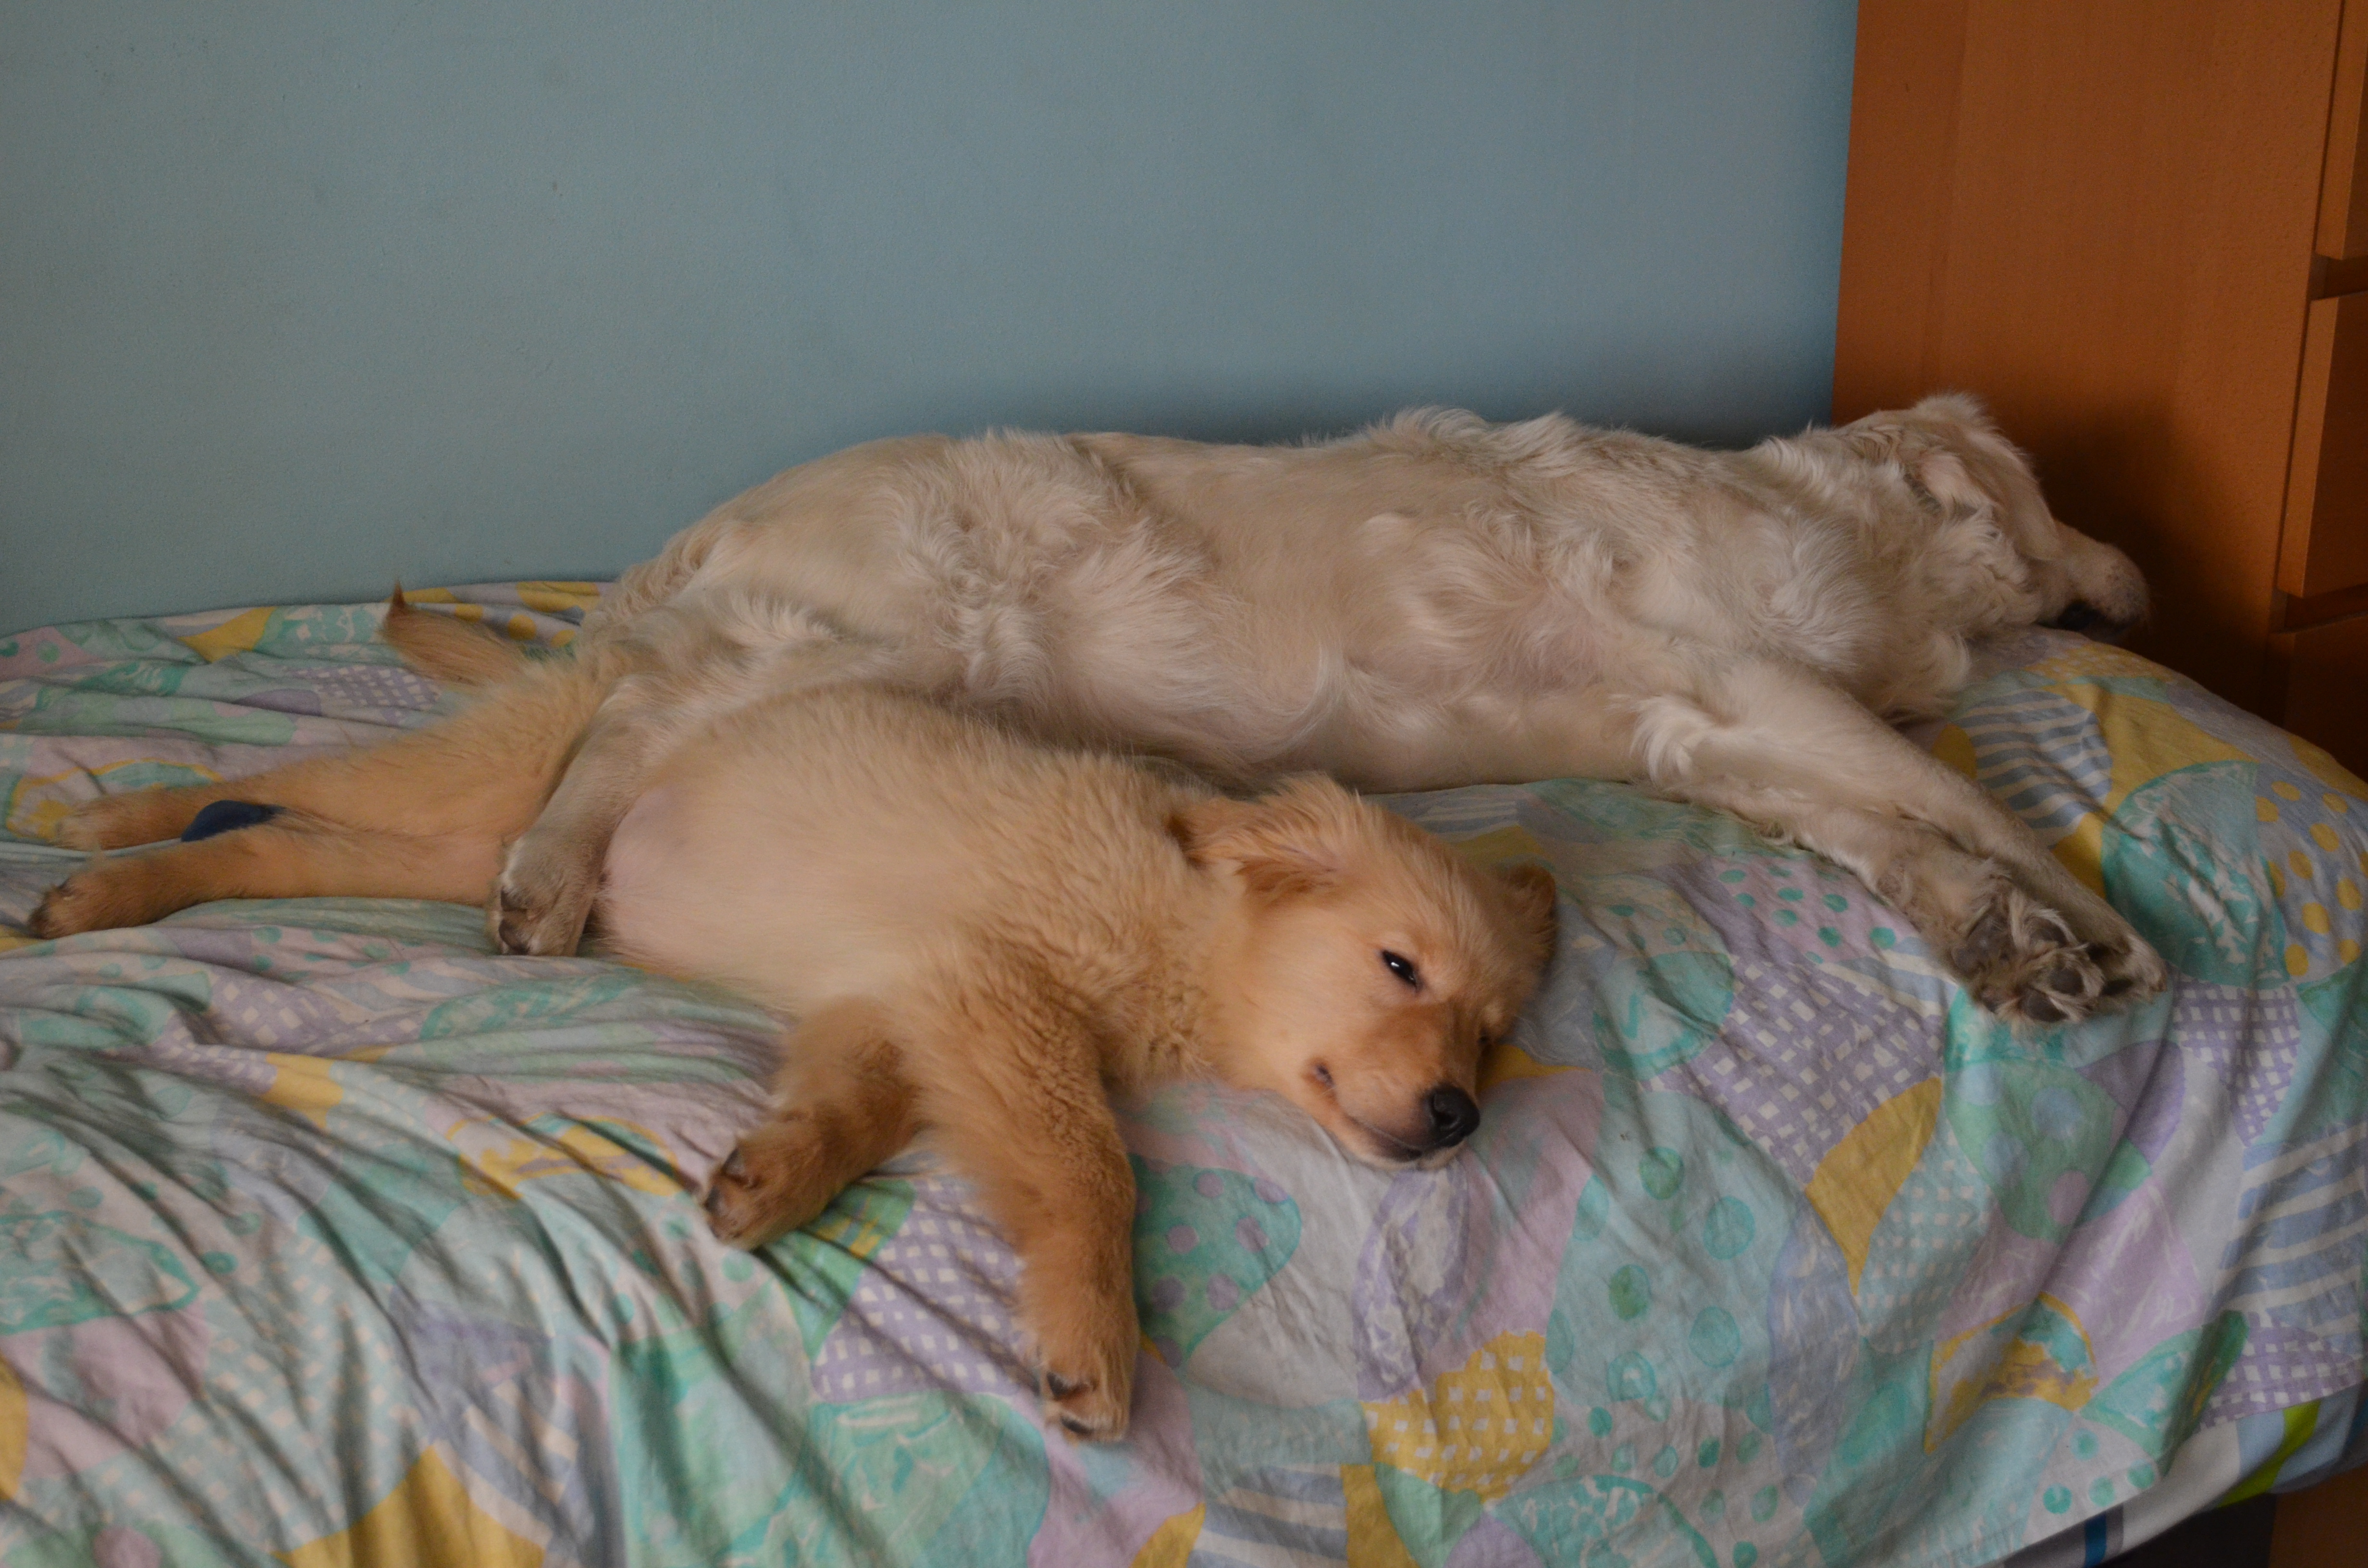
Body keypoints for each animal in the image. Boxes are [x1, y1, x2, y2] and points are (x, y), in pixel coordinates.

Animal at [31, 613, 1558, 1442]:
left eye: (1492, 1031)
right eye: (1400, 968)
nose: (1460, 1117)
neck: (1177, 920)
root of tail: (637, 647)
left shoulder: (896, 1003)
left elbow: (860, 1107)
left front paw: (774, 1175)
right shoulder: (989, 991)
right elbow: (1090, 1166)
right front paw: (1093, 1337)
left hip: (464, 858)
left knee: (279, 839)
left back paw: (119, 874)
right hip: (494, 784)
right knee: (303, 778)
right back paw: (105, 831)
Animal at [42, 393, 2160, 1022]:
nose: (2133, 571)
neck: (1848, 530)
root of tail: (712, 519)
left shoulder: (1713, 730)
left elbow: (1889, 833)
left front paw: (2005, 942)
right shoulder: (1742, 669)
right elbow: (1965, 799)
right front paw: (2105, 926)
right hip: (886, 627)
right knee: (615, 735)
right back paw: (548, 873)